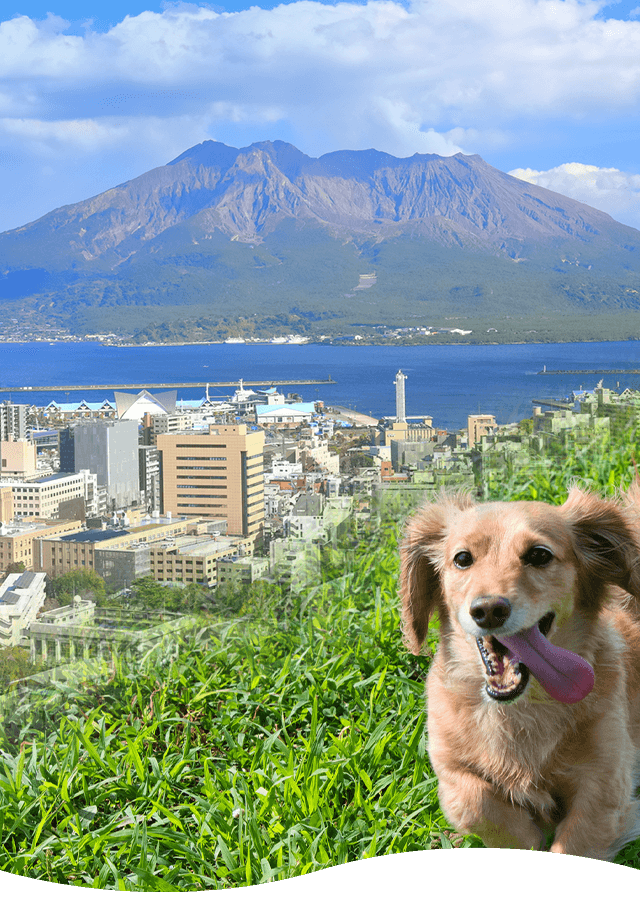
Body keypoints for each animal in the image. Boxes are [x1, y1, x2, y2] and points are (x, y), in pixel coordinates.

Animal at [402, 486, 640, 856]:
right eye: (462, 558)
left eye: (539, 555)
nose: (488, 610)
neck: (522, 710)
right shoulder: (449, 765)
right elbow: (476, 803)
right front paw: (527, 835)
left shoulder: (606, 780)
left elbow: (577, 837)